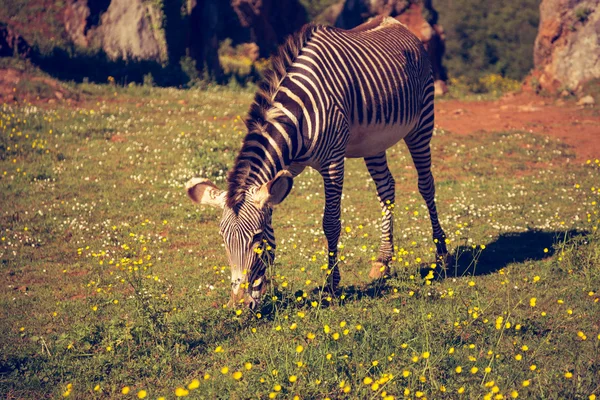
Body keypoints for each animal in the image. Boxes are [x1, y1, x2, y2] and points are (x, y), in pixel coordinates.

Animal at [186, 16, 446, 310]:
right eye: (223, 238)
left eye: (256, 238)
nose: (239, 305)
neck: (296, 117)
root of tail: (394, 21)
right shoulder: (284, 170)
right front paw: (268, 291)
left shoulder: (333, 162)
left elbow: (331, 223)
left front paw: (332, 286)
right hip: (374, 142)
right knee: (386, 189)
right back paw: (382, 261)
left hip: (422, 123)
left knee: (426, 185)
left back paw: (442, 255)